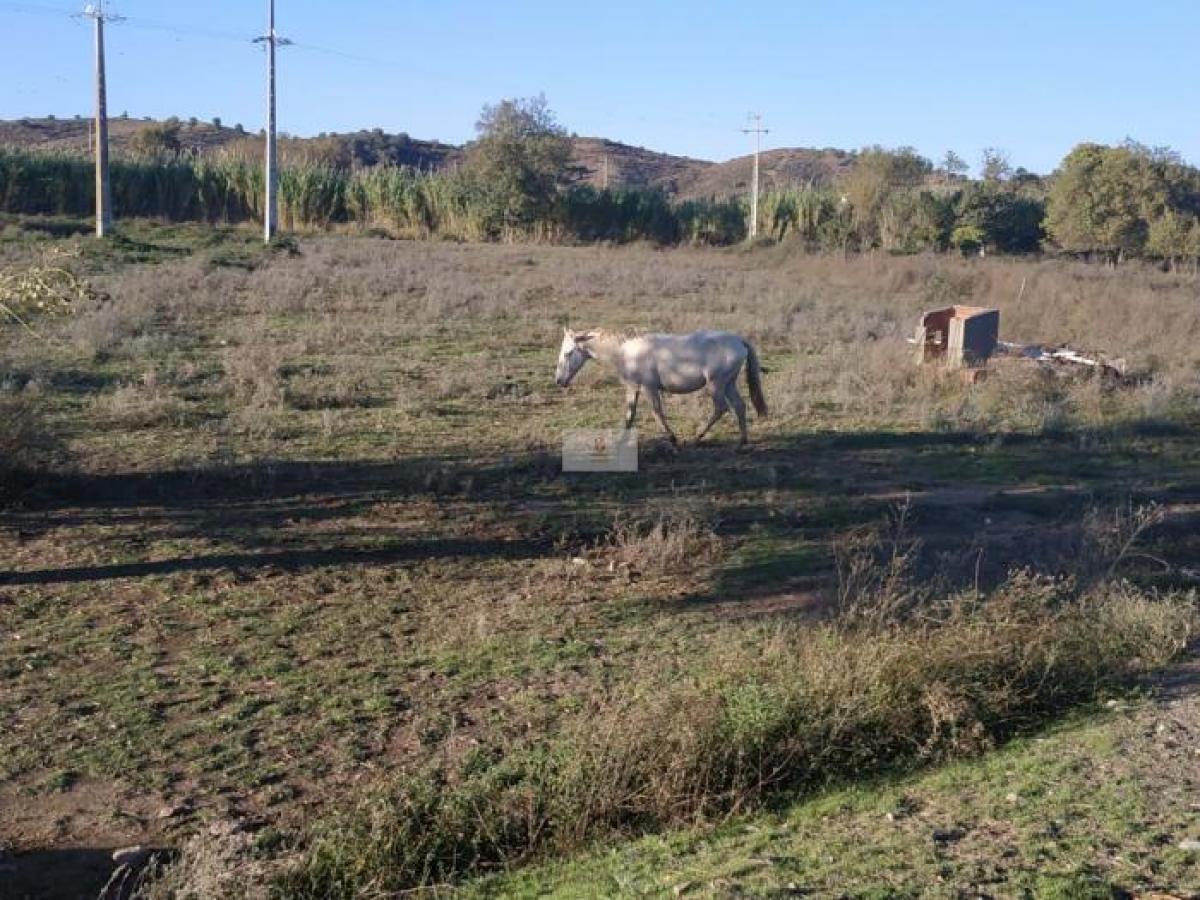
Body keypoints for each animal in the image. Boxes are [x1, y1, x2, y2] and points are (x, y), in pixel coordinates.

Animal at [554, 328, 768, 448]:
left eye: (568, 353)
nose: (559, 381)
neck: (626, 352)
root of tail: (738, 340)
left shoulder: (649, 388)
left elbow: (657, 412)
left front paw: (673, 439)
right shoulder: (633, 389)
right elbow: (629, 415)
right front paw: (620, 441)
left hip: (717, 384)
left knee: (721, 408)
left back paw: (697, 438)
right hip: (729, 384)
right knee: (740, 407)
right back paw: (742, 441)